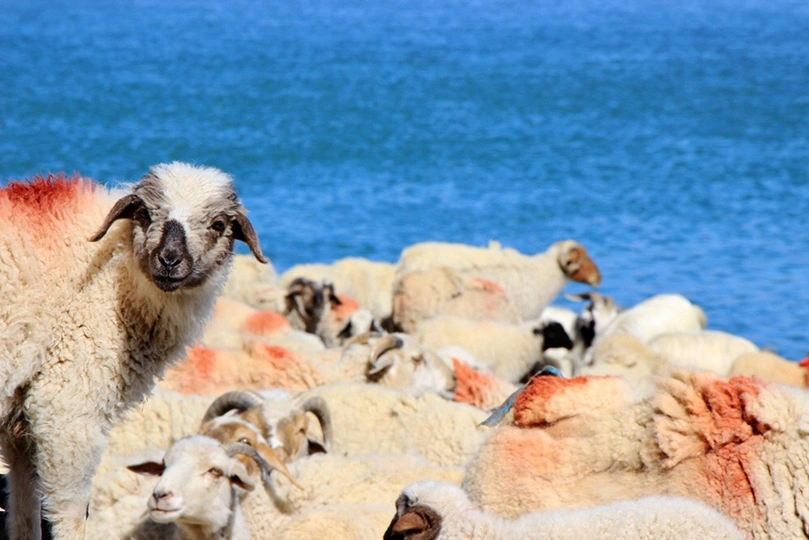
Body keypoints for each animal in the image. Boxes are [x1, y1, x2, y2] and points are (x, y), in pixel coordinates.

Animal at [0, 162, 267, 539]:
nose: (169, 260)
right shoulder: (67, 405)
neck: (113, 279)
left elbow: (24, 511)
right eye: (144, 213)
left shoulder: (21, 422)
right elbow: (70, 511)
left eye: (218, 224)